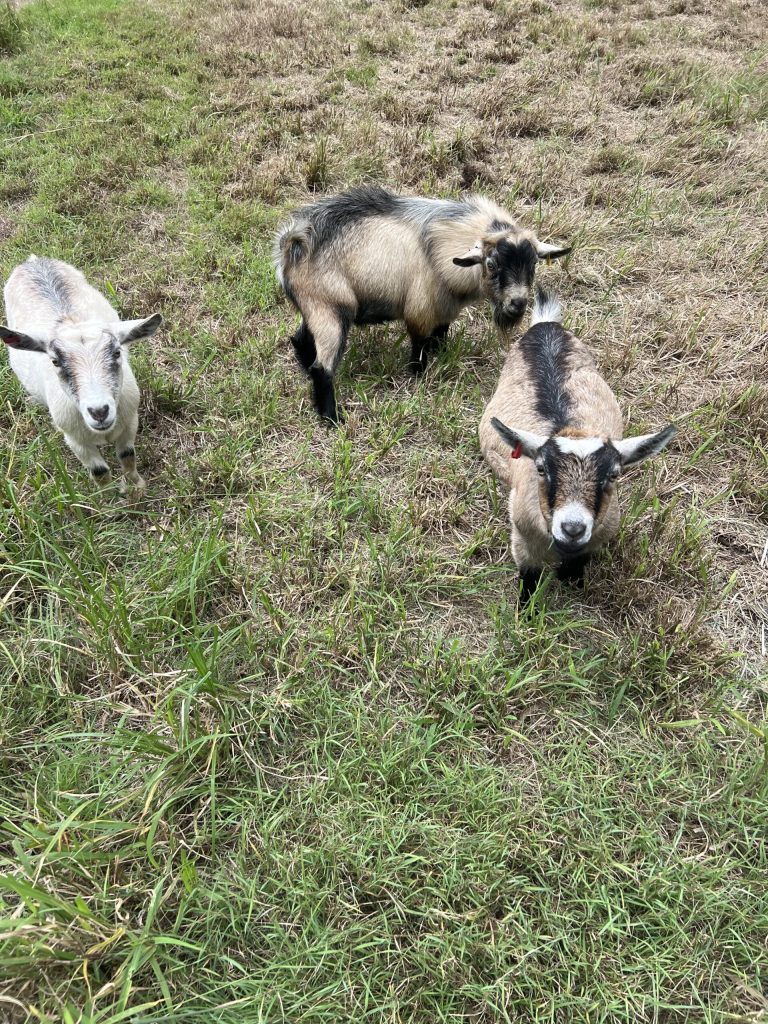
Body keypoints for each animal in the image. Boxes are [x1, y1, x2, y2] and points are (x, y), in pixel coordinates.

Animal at [1, 256, 162, 492]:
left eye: (117, 352)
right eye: (55, 361)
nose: (99, 411)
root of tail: (33, 260)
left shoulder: (130, 421)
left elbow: (127, 456)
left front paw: (135, 488)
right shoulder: (75, 440)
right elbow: (99, 471)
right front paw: (108, 497)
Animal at [274, 185, 569, 423]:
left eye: (533, 265)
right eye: (491, 263)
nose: (517, 303)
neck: (439, 246)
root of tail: (293, 243)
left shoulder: (445, 308)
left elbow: (440, 333)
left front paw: (441, 353)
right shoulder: (420, 310)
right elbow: (419, 346)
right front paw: (418, 375)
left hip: (314, 308)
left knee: (300, 339)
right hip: (330, 311)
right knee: (322, 368)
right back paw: (332, 417)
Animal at [479, 288, 676, 598]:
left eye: (614, 475)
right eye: (541, 469)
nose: (572, 528)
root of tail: (545, 325)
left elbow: (575, 567)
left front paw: (571, 581)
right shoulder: (522, 540)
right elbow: (529, 581)